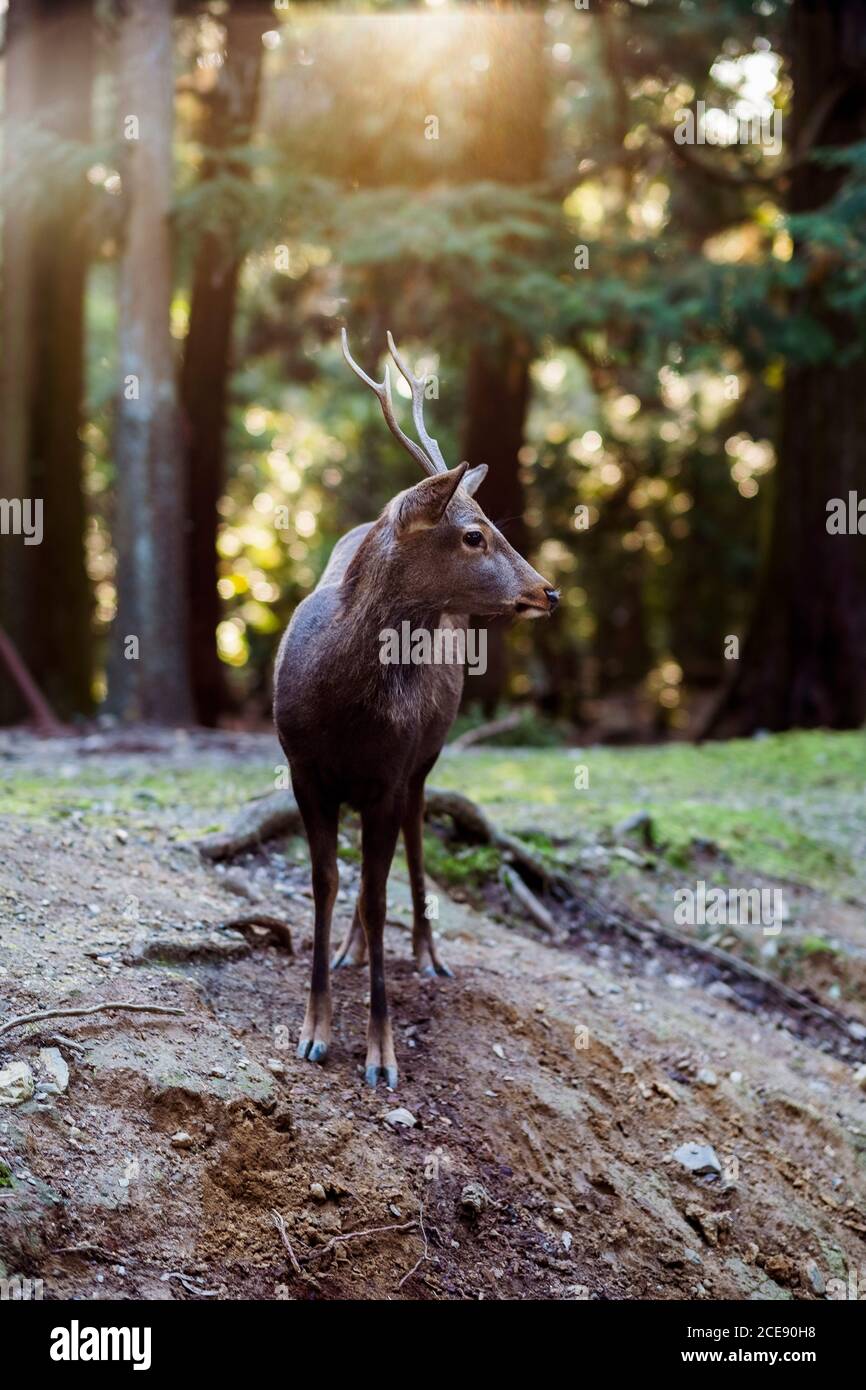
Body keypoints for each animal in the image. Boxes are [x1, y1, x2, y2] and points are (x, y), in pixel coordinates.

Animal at [273, 330, 558, 1089]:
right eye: (473, 534)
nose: (548, 591)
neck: (342, 713)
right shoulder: (302, 769)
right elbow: (325, 882)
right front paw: (313, 1030)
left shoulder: (390, 772)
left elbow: (380, 891)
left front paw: (380, 1052)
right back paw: (351, 948)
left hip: (428, 756)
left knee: (415, 839)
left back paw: (427, 954)